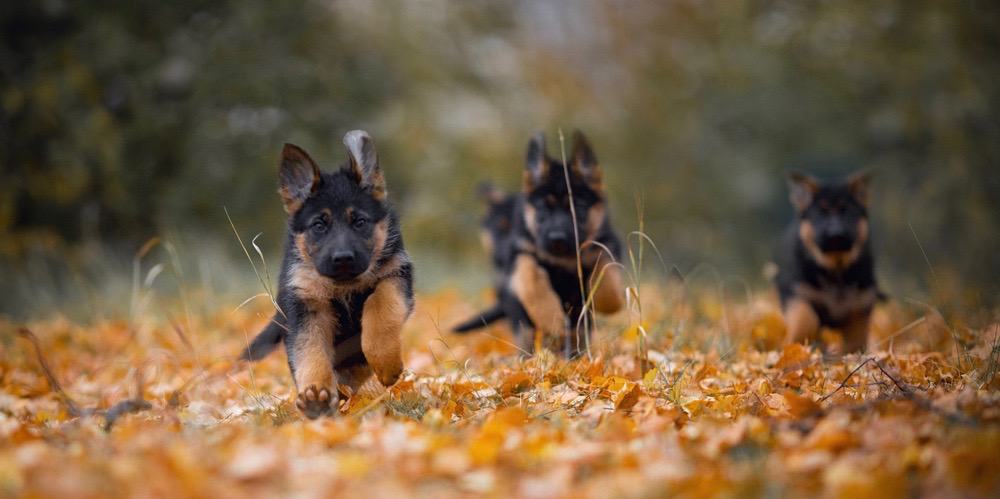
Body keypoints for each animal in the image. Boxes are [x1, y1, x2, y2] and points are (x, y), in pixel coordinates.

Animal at [240, 131, 412, 420]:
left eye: (360, 222)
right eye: (319, 225)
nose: (342, 258)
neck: (343, 286)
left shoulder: (396, 275)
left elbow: (379, 306)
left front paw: (386, 362)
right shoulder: (306, 307)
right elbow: (310, 352)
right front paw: (315, 394)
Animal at [456, 129, 624, 356]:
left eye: (577, 208)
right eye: (544, 209)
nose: (557, 238)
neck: (562, 258)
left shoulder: (607, 242)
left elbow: (607, 267)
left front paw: (609, 301)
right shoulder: (520, 253)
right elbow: (531, 276)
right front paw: (550, 317)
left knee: (577, 334)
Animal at [772, 170, 884, 354]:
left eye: (847, 212)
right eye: (820, 213)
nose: (835, 234)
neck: (835, 268)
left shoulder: (861, 304)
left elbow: (856, 340)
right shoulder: (795, 290)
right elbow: (806, 320)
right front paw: (794, 347)